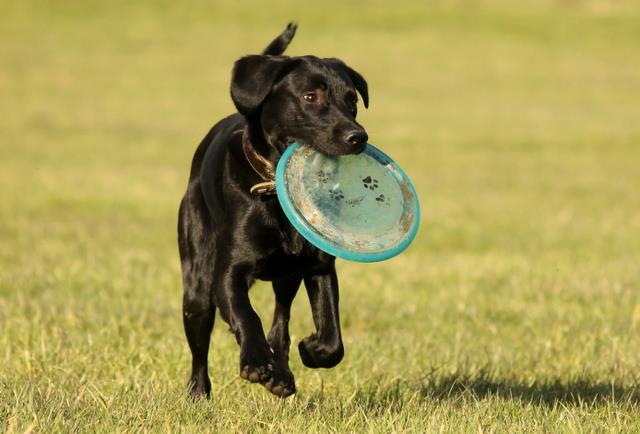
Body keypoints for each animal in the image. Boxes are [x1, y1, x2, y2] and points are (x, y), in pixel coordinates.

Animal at [180, 22, 370, 398]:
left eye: (352, 100)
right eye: (310, 97)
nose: (358, 137)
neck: (278, 196)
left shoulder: (319, 266)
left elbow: (332, 336)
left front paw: (311, 350)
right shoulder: (228, 274)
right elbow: (246, 316)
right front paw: (255, 361)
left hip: (286, 277)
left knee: (280, 323)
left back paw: (281, 374)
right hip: (196, 281)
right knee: (200, 342)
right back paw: (199, 393)